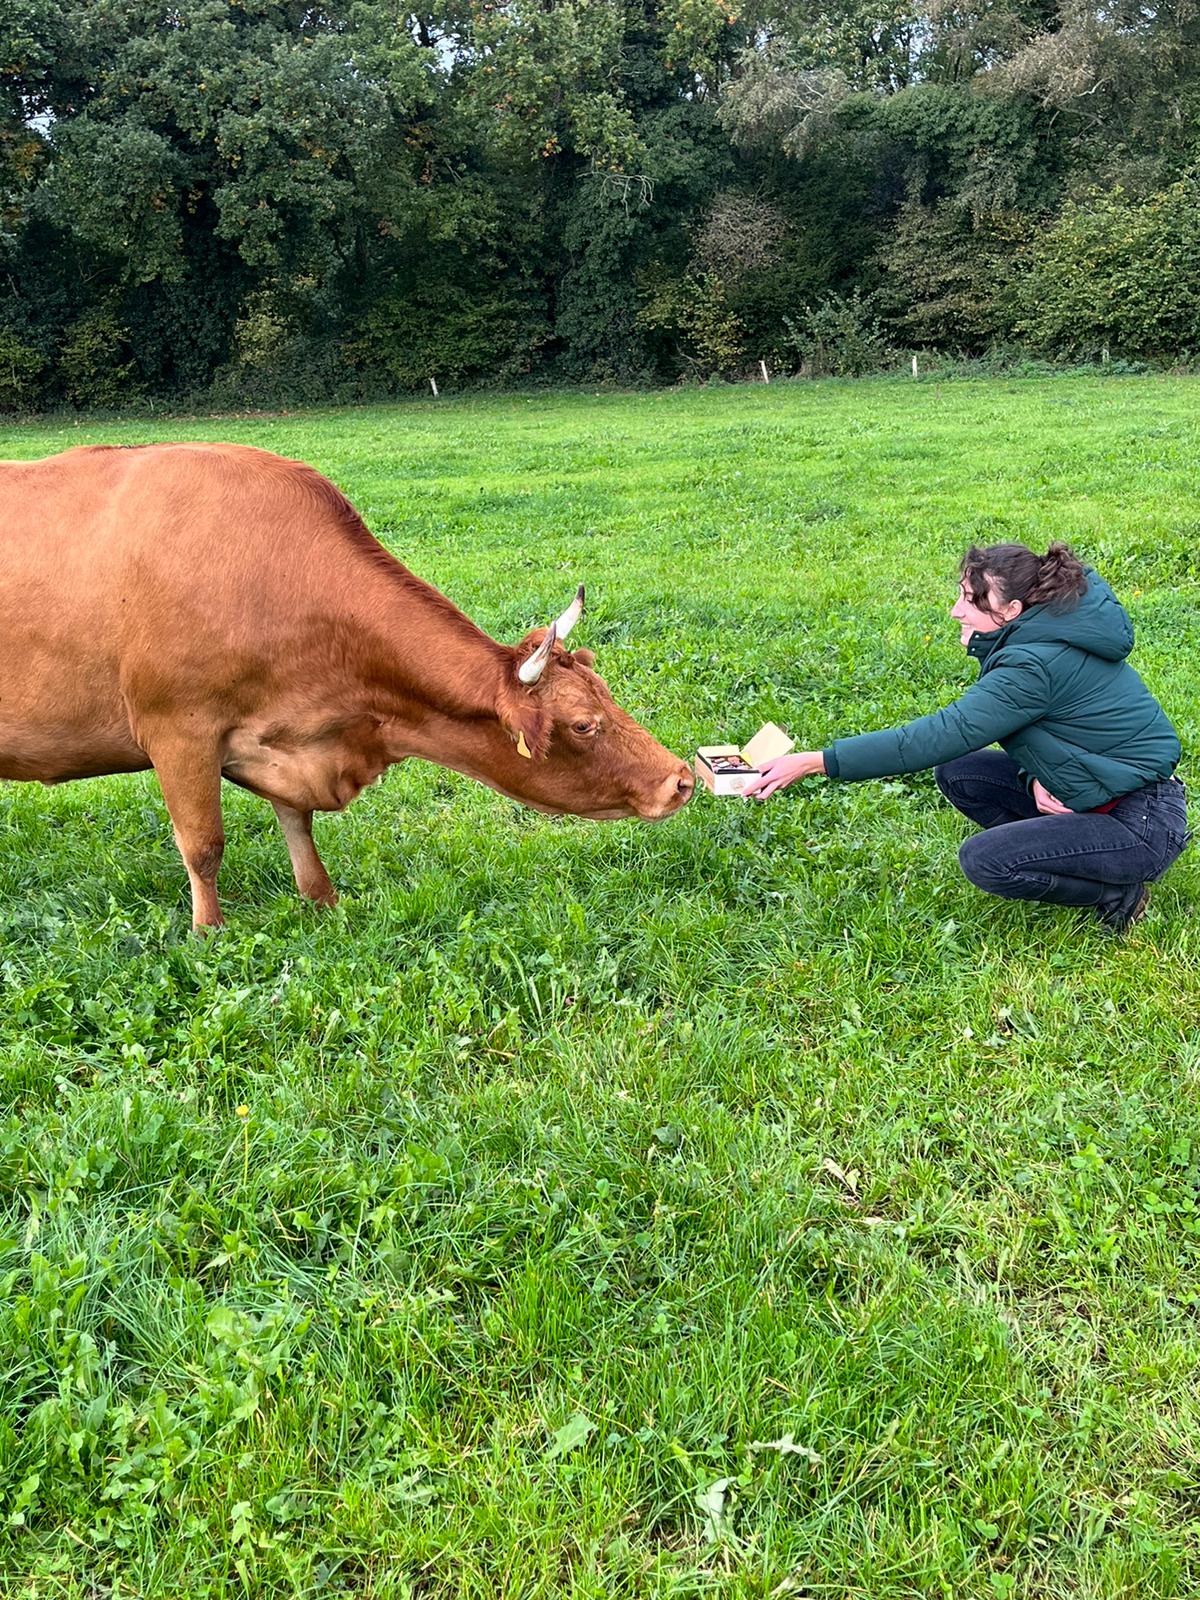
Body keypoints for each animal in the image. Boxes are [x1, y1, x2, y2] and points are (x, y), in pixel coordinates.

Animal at [0, 444, 694, 934]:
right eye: (583, 724)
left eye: (604, 690)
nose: (682, 779)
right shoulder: (178, 730)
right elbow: (203, 845)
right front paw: (208, 934)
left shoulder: (280, 742)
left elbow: (297, 823)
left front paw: (323, 901)